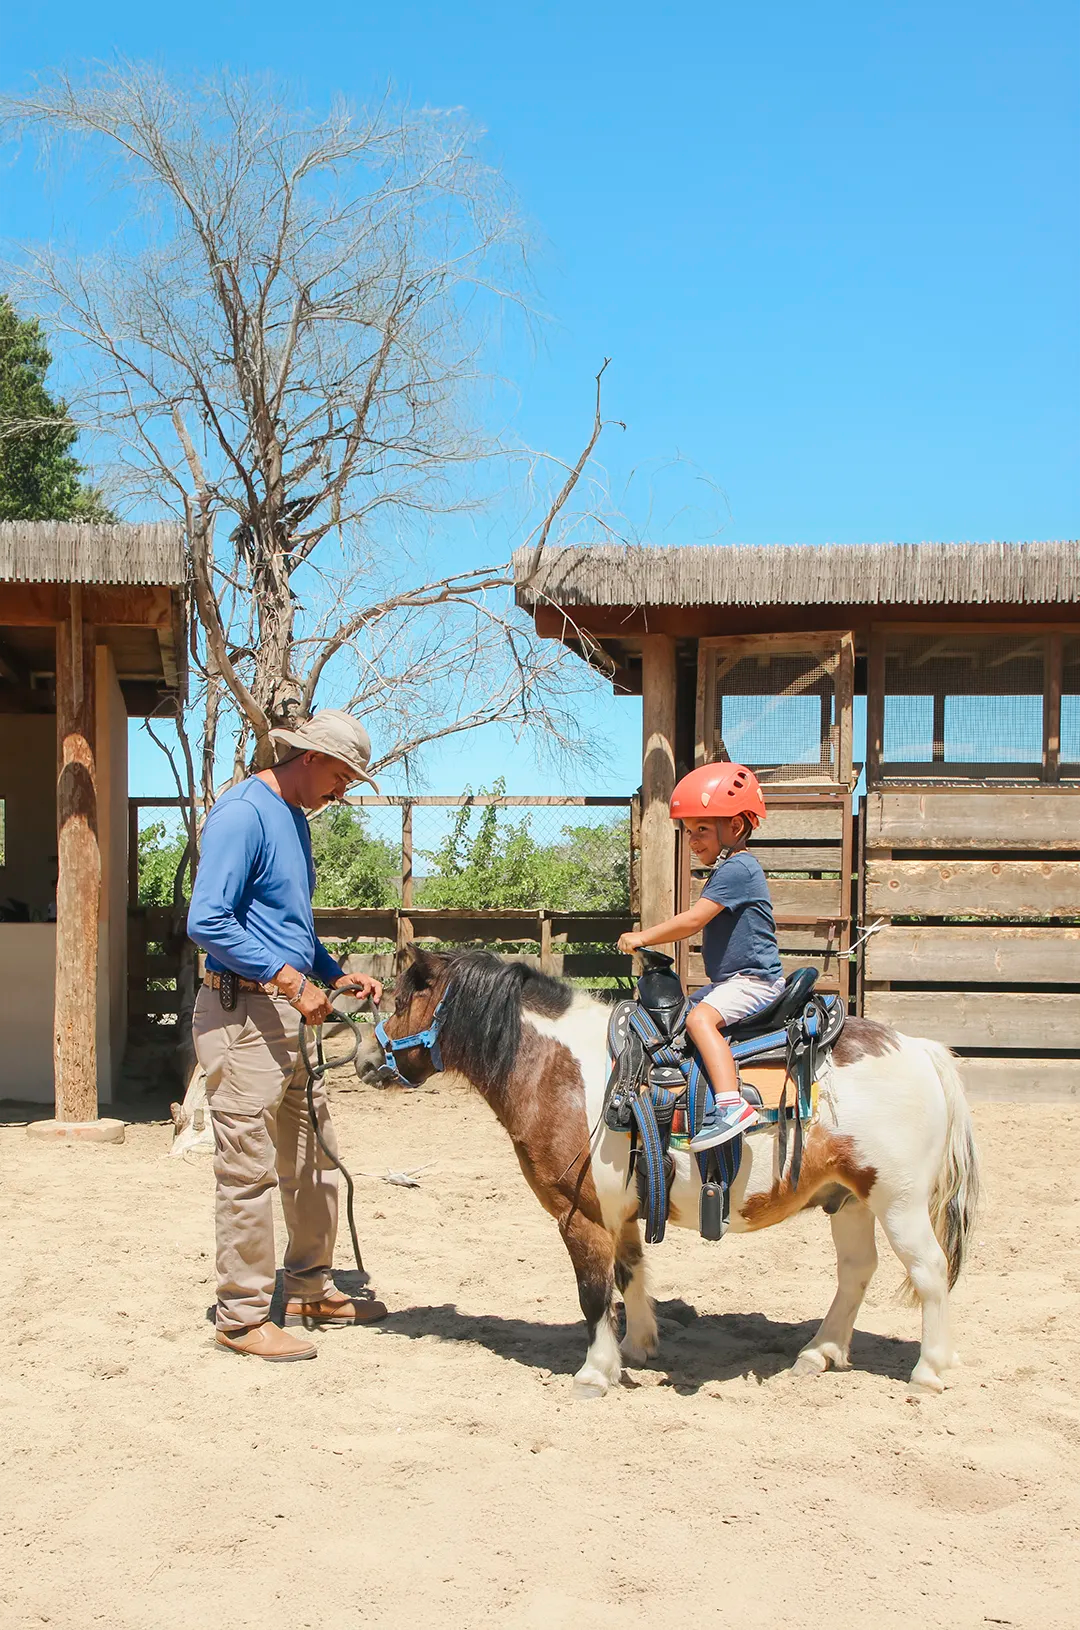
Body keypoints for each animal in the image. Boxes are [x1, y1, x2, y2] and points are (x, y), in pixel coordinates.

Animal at [360, 946, 981, 1399]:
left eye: (401, 999)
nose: (366, 1061)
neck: (559, 1071)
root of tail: (918, 1049)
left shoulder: (578, 1214)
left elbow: (592, 1293)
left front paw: (595, 1372)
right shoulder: (622, 1210)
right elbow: (630, 1274)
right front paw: (637, 1346)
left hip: (897, 1201)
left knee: (929, 1272)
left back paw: (928, 1371)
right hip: (848, 1199)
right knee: (856, 1272)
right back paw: (819, 1353)